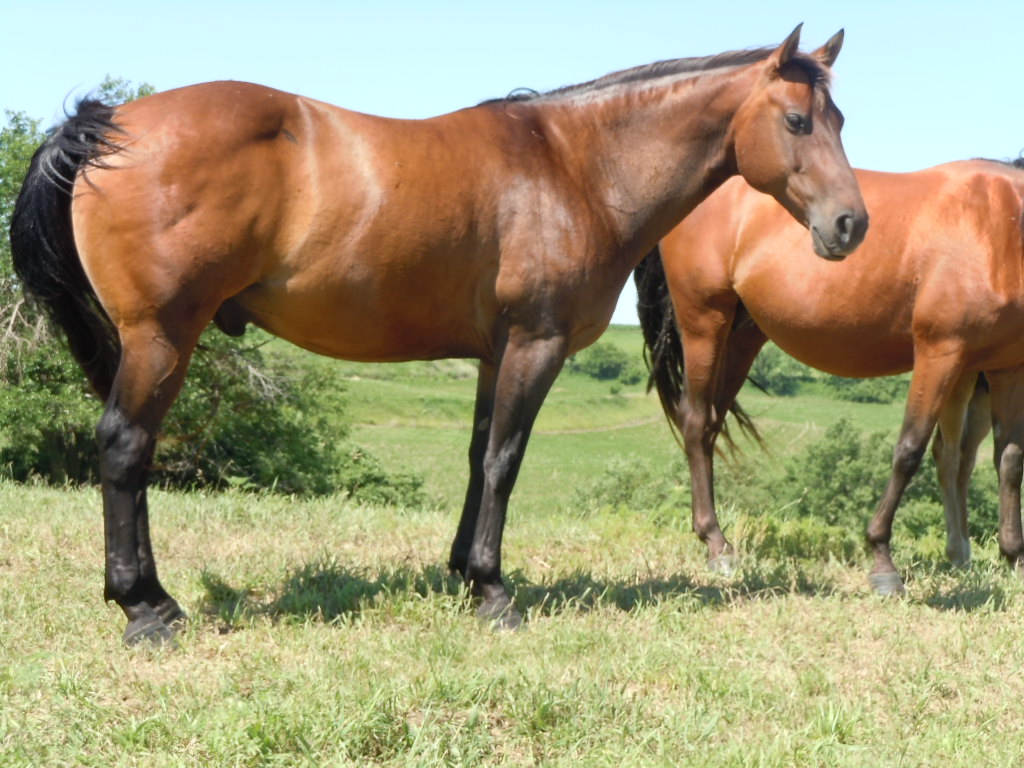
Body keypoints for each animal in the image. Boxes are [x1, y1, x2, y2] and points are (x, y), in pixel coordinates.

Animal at [10, 26, 866, 645]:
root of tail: (107, 121)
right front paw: (494, 592)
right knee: (125, 448)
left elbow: (477, 456)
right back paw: (144, 609)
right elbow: (504, 462)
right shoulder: (535, 345)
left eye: (840, 120)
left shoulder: (495, 352)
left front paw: (462, 571)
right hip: (160, 337)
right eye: (797, 120)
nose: (850, 225)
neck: (574, 167)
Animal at [636, 158, 1024, 595]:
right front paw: (882, 559)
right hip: (704, 323)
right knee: (696, 420)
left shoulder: (1008, 368)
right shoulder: (940, 352)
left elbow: (1010, 460)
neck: (999, 225)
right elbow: (909, 451)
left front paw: (1013, 555)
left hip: (740, 337)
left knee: (709, 426)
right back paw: (716, 545)